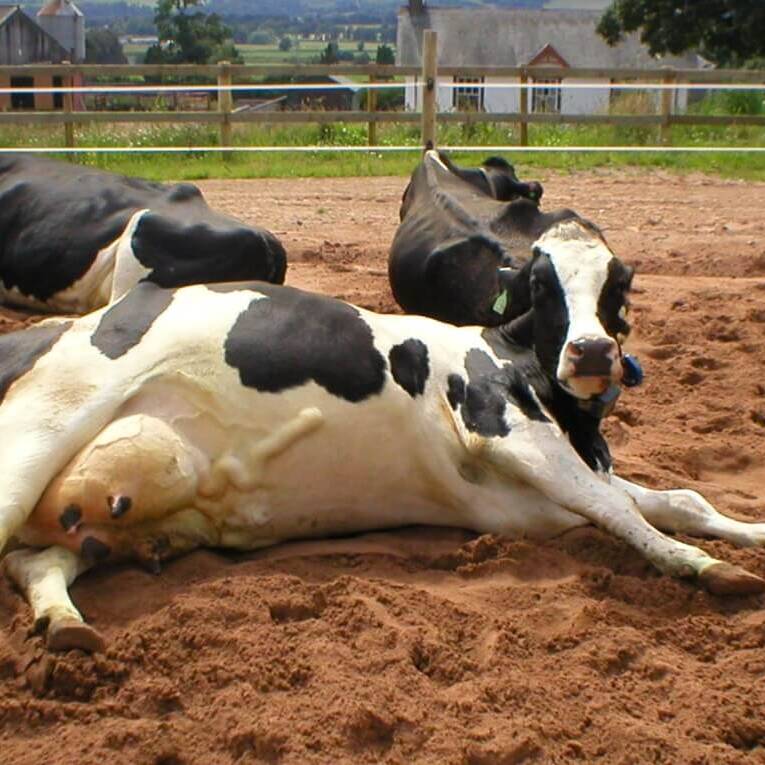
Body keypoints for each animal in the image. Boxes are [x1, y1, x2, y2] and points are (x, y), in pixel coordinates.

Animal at [1, 215, 764, 652]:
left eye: (619, 285)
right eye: (541, 286)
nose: (592, 352)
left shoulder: (543, 489)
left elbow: (673, 498)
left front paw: (747, 533)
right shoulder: (503, 430)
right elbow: (619, 507)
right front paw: (704, 566)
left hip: (94, 513)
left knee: (36, 560)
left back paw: (64, 623)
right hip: (34, 437)